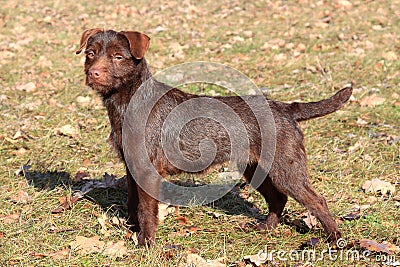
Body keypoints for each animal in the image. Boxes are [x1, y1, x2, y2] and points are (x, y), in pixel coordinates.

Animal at [76, 28, 352, 247]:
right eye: (91, 53)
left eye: (118, 57)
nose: (94, 73)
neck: (129, 101)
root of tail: (286, 108)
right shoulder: (132, 167)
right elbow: (133, 203)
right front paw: (133, 232)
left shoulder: (146, 170)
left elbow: (145, 210)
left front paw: (146, 243)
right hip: (255, 168)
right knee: (278, 198)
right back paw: (265, 227)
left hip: (286, 169)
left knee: (316, 200)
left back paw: (334, 239)